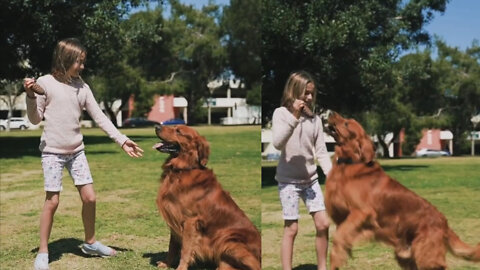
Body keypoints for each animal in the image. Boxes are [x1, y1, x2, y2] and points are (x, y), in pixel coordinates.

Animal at [154, 125, 260, 268]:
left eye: (178, 131)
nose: (156, 126)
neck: (182, 169)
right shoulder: (175, 217)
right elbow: (172, 246)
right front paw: (166, 264)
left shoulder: (190, 220)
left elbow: (185, 249)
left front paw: (181, 267)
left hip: (228, 240)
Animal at [324, 112, 478, 270]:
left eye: (347, 123)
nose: (331, 112)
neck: (349, 162)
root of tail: (444, 222)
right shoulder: (343, 215)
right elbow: (341, 236)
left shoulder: (361, 212)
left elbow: (339, 236)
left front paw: (337, 257)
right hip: (406, 255)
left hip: (426, 256)